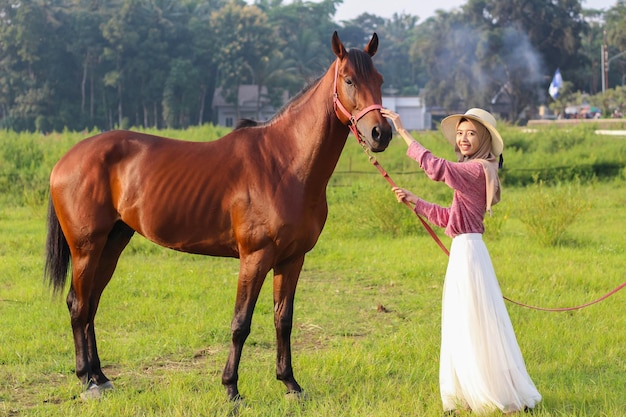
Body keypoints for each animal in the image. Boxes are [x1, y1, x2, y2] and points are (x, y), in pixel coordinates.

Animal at [45, 30, 390, 398]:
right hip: (86, 248)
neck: (285, 164)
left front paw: (290, 383)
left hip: (112, 243)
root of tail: (66, 159)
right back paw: (86, 379)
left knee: (91, 304)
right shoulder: (255, 257)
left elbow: (283, 320)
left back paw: (101, 376)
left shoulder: (292, 259)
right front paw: (231, 388)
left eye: (380, 80)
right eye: (349, 80)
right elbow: (241, 323)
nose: (381, 133)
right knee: (79, 305)